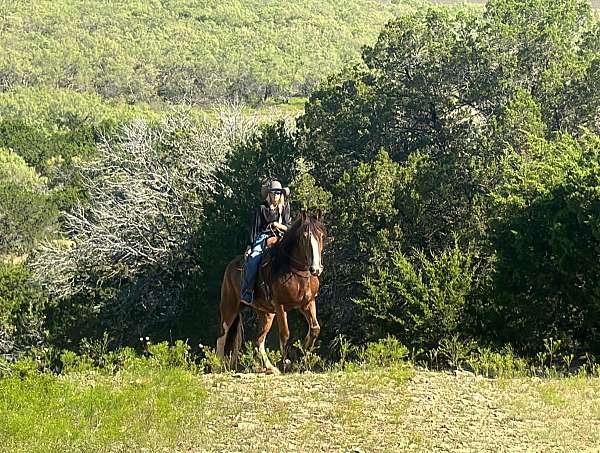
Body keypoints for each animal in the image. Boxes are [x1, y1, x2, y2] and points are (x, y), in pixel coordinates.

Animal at [217, 210, 326, 372]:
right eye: (304, 237)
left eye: (322, 236)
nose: (316, 269)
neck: (294, 271)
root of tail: (230, 266)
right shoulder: (280, 305)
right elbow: (285, 333)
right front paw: (286, 363)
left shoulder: (307, 303)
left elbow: (315, 329)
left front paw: (303, 354)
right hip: (229, 307)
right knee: (222, 335)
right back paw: (217, 365)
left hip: (266, 313)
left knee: (258, 340)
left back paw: (271, 368)